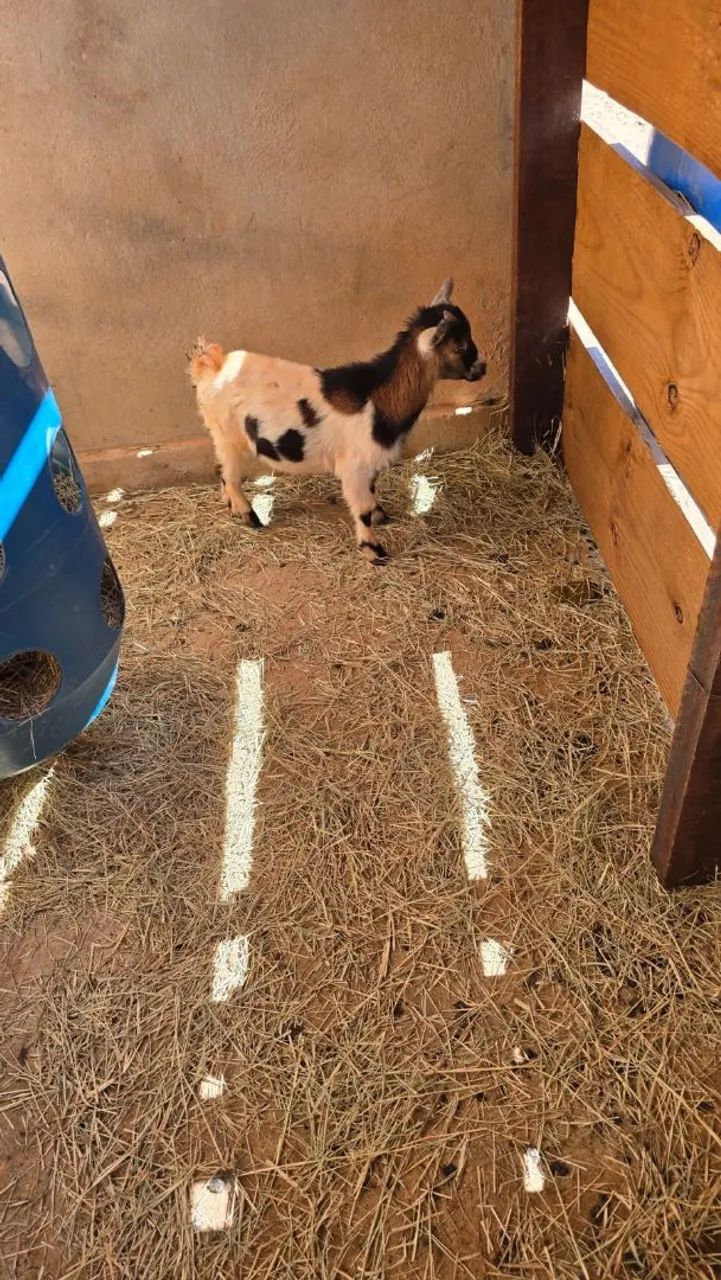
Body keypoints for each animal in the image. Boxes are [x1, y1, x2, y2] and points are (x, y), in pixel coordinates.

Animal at [188, 279, 486, 564]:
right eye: (459, 345)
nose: (482, 367)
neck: (377, 396)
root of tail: (212, 365)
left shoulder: (369, 463)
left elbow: (372, 491)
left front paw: (381, 516)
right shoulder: (354, 466)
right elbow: (361, 510)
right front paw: (375, 552)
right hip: (226, 433)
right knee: (229, 474)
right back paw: (248, 515)